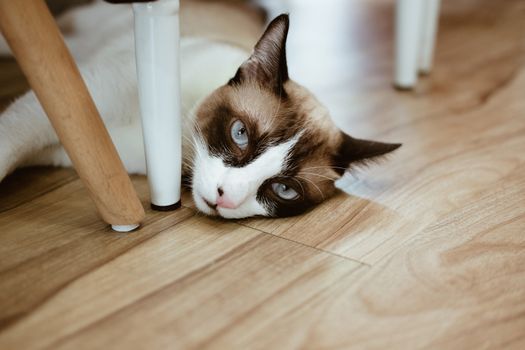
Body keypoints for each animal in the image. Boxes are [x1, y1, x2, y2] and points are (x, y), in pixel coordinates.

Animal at [0, 0, 400, 219]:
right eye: (240, 134)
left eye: (284, 190)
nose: (226, 198)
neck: (179, 139)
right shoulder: (68, 103)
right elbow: (7, 148)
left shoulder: (73, 146)